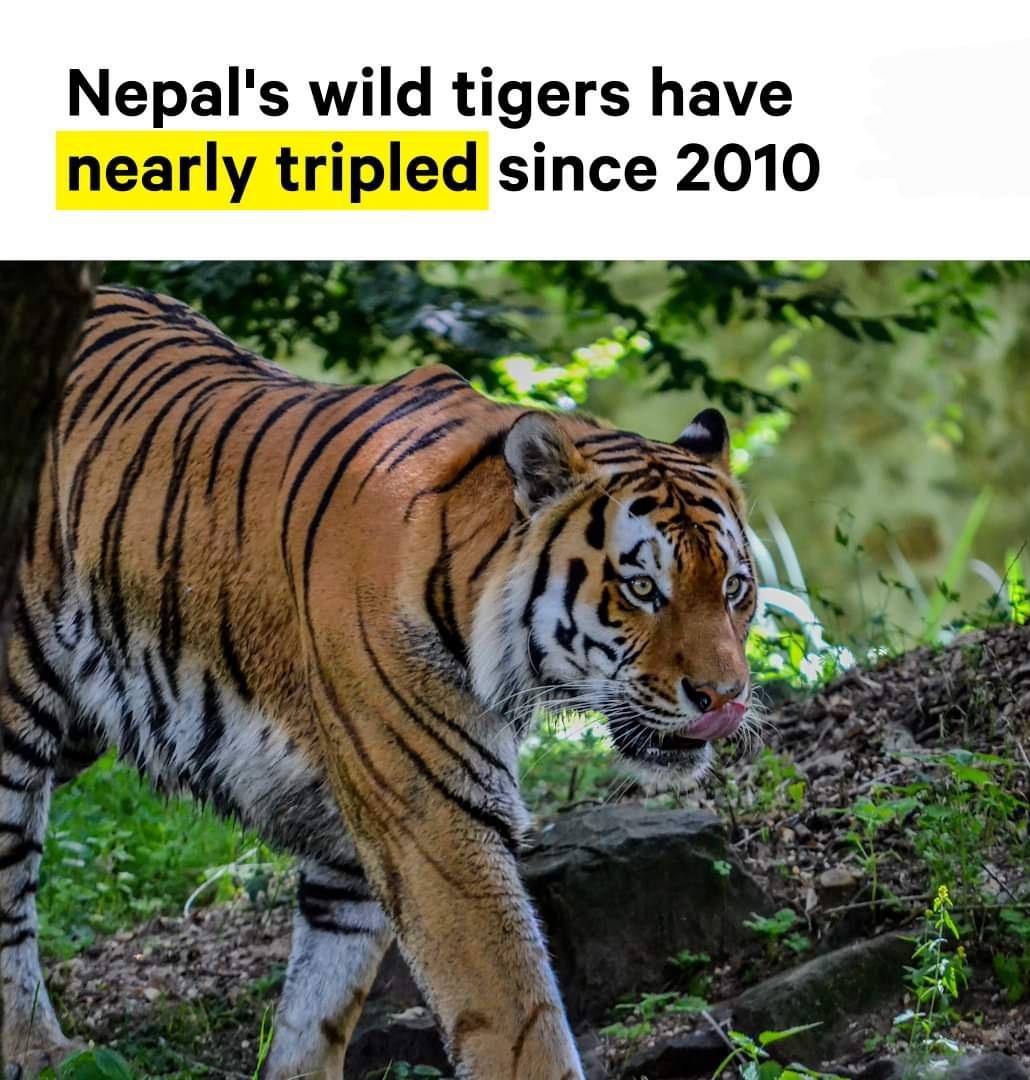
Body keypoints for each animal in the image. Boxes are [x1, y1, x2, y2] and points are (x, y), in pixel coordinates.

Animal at [0, 285, 757, 1080]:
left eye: (734, 588)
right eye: (643, 589)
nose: (725, 698)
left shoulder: (352, 845)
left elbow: (319, 1004)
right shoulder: (436, 823)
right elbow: (519, 1022)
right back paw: (38, 1047)